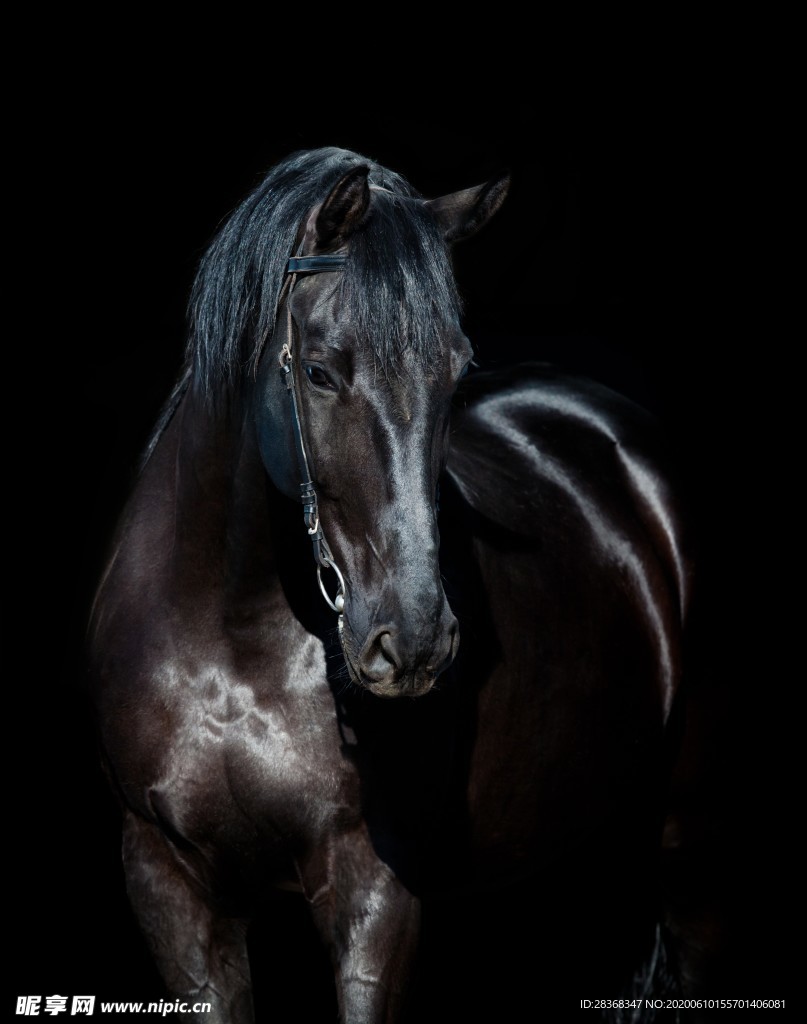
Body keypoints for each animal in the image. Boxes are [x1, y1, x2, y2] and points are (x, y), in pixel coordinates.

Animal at [87, 146, 696, 1022]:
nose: (411, 642)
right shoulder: (168, 884)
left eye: (455, 371)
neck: (230, 640)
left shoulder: (374, 888)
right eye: (317, 371)